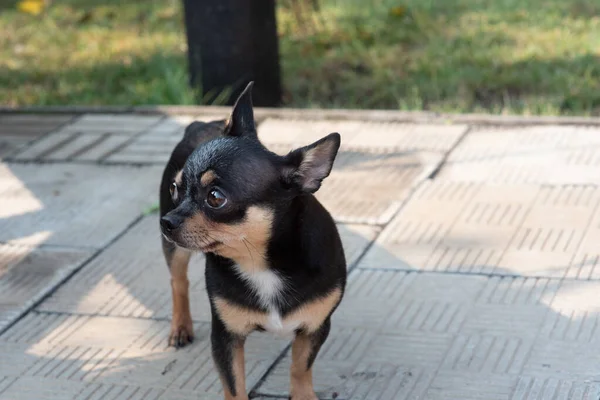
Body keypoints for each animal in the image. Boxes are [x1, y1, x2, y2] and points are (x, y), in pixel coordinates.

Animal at [159, 82, 346, 400]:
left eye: (215, 198)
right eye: (175, 188)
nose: (167, 221)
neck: (260, 263)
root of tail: (203, 122)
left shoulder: (314, 328)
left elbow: (300, 367)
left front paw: (303, 394)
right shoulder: (226, 337)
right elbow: (234, 386)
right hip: (175, 252)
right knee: (177, 281)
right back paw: (180, 327)